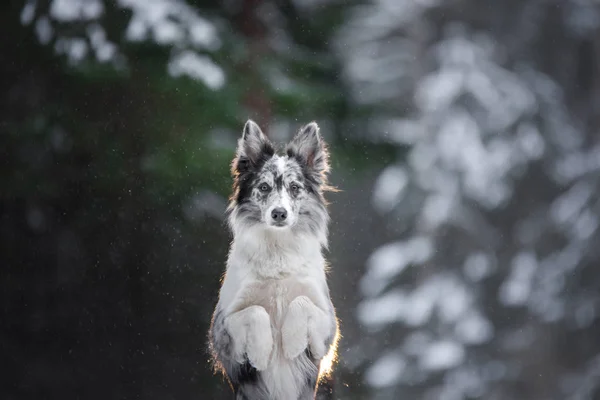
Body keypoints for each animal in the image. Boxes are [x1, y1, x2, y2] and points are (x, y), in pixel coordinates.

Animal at [209, 120, 340, 398]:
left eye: (295, 188)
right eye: (264, 187)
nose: (279, 213)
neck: (278, 249)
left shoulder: (327, 329)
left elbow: (301, 303)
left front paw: (291, 342)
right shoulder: (222, 331)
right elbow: (255, 311)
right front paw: (261, 353)